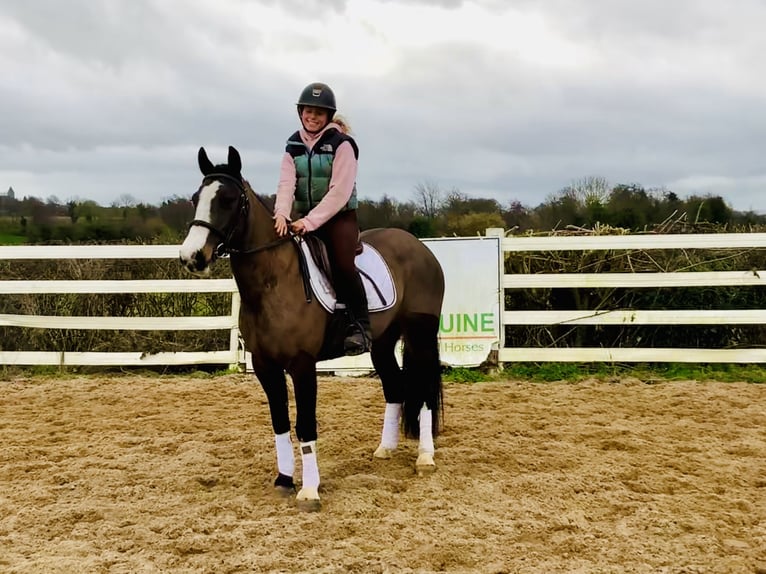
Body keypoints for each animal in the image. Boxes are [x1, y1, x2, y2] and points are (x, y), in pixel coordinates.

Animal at [179, 146, 445, 511]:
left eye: (229, 200)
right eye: (196, 198)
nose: (191, 257)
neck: (273, 282)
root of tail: (420, 247)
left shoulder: (302, 365)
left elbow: (305, 424)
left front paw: (309, 491)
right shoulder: (265, 366)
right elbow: (279, 421)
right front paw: (284, 480)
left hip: (421, 335)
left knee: (425, 391)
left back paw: (425, 457)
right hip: (382, 342)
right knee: (394, 387)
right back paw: (385, 449)